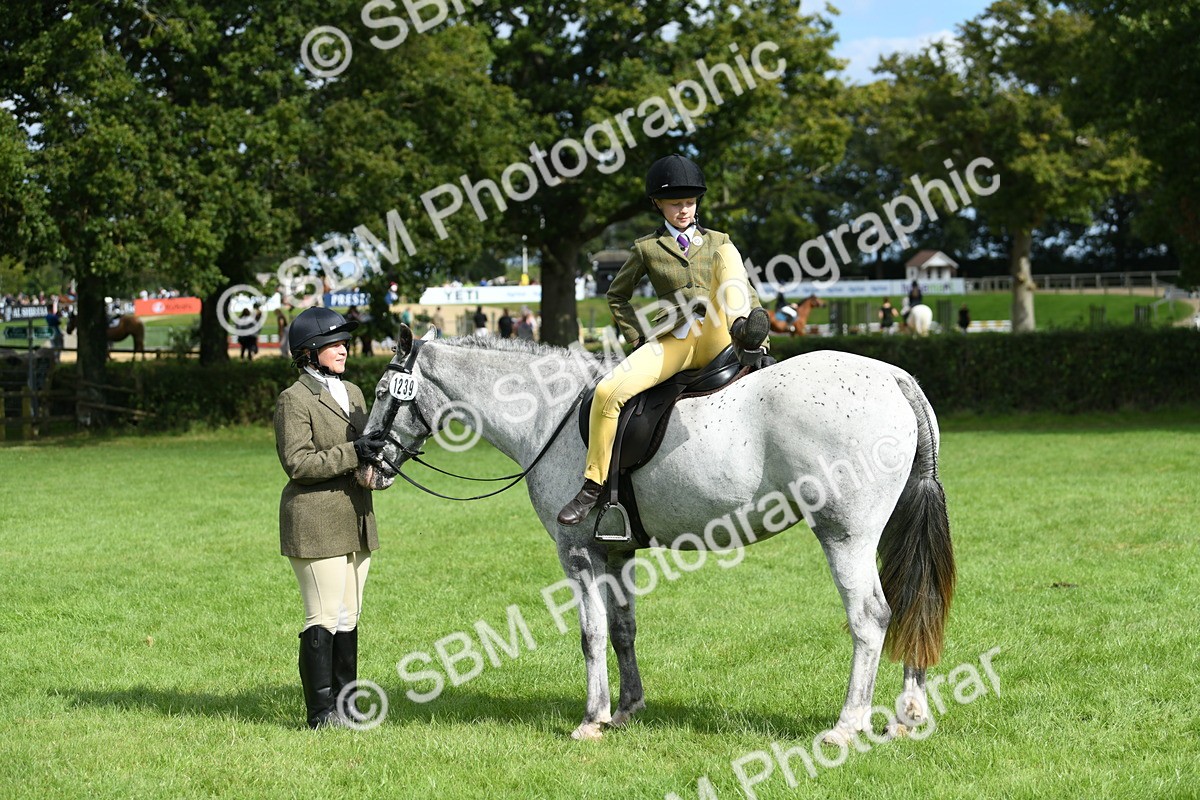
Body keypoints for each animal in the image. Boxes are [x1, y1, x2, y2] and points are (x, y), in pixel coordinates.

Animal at [357, 328, 955, 744]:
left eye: (385, 391)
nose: (365, 459)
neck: (550, 415)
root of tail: (892, 377)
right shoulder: (617, 553)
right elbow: (623, 630)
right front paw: (627, 709)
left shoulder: (577, 553)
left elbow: (591, 634)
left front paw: (592, 718)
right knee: (911, 605)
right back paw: (909, 715)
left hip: (845, 538)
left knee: (871, 618)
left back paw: (848, 724)